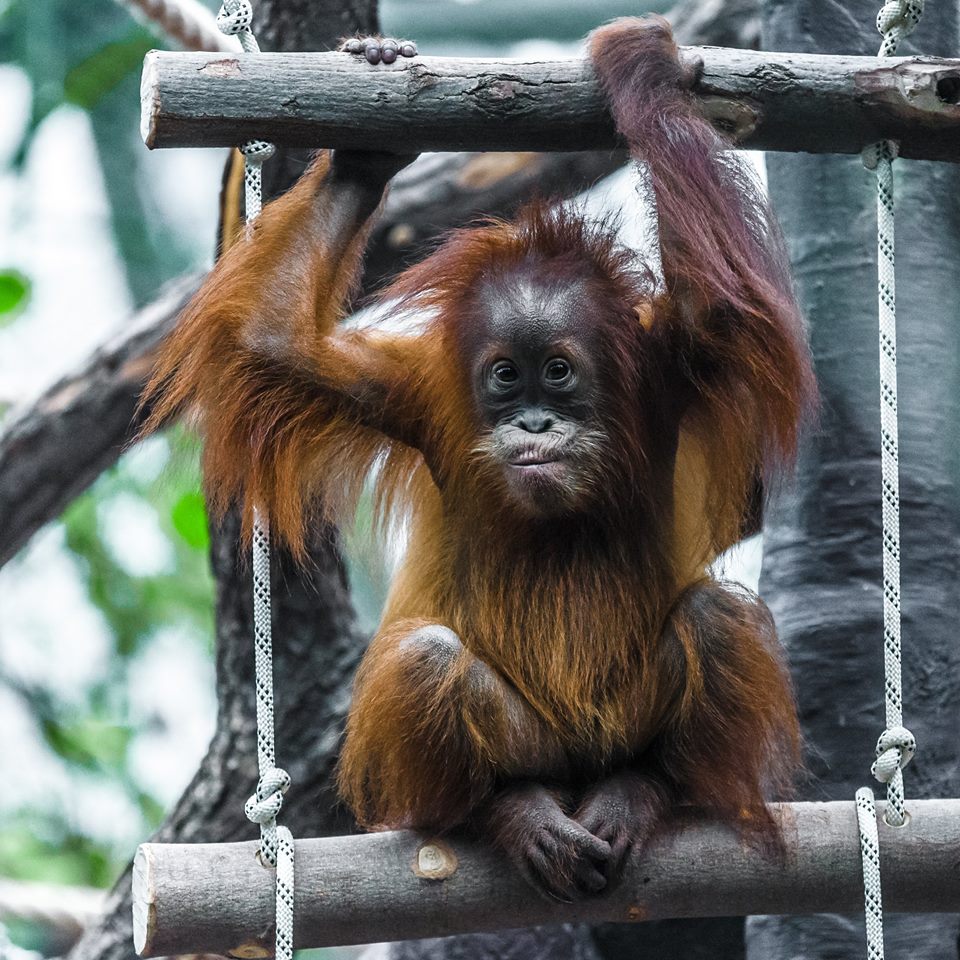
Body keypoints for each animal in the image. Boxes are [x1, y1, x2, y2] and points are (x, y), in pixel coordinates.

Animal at [142, 17, 816, 901]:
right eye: (504, 376)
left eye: (557, 371)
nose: (533, 422)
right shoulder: (414, 393)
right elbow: (271, 343)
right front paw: (366, 146)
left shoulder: (672, 369)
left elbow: (721, 309)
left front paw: (641, 64)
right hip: (528, 747)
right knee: (426, 663)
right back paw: (505, 812)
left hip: (614, 733)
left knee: (716, 619)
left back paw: (642, 789)